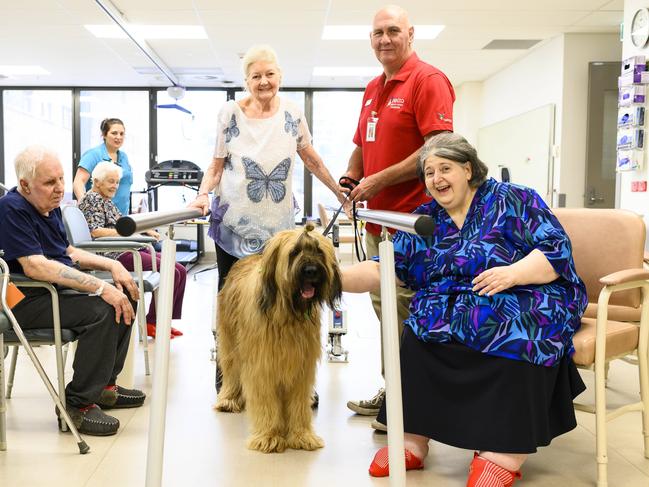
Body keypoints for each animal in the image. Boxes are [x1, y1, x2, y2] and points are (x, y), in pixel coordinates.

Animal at [215, 224, 342, 454]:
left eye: (318, 251)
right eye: (294, 252)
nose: (311, 271)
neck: (287, 312)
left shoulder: (301, 366)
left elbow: (298, 403)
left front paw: (301, 435)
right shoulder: (262, 365)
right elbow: (265, 400)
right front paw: (269, 436)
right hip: (230, 339)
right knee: (231, 369)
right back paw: (228, 399)